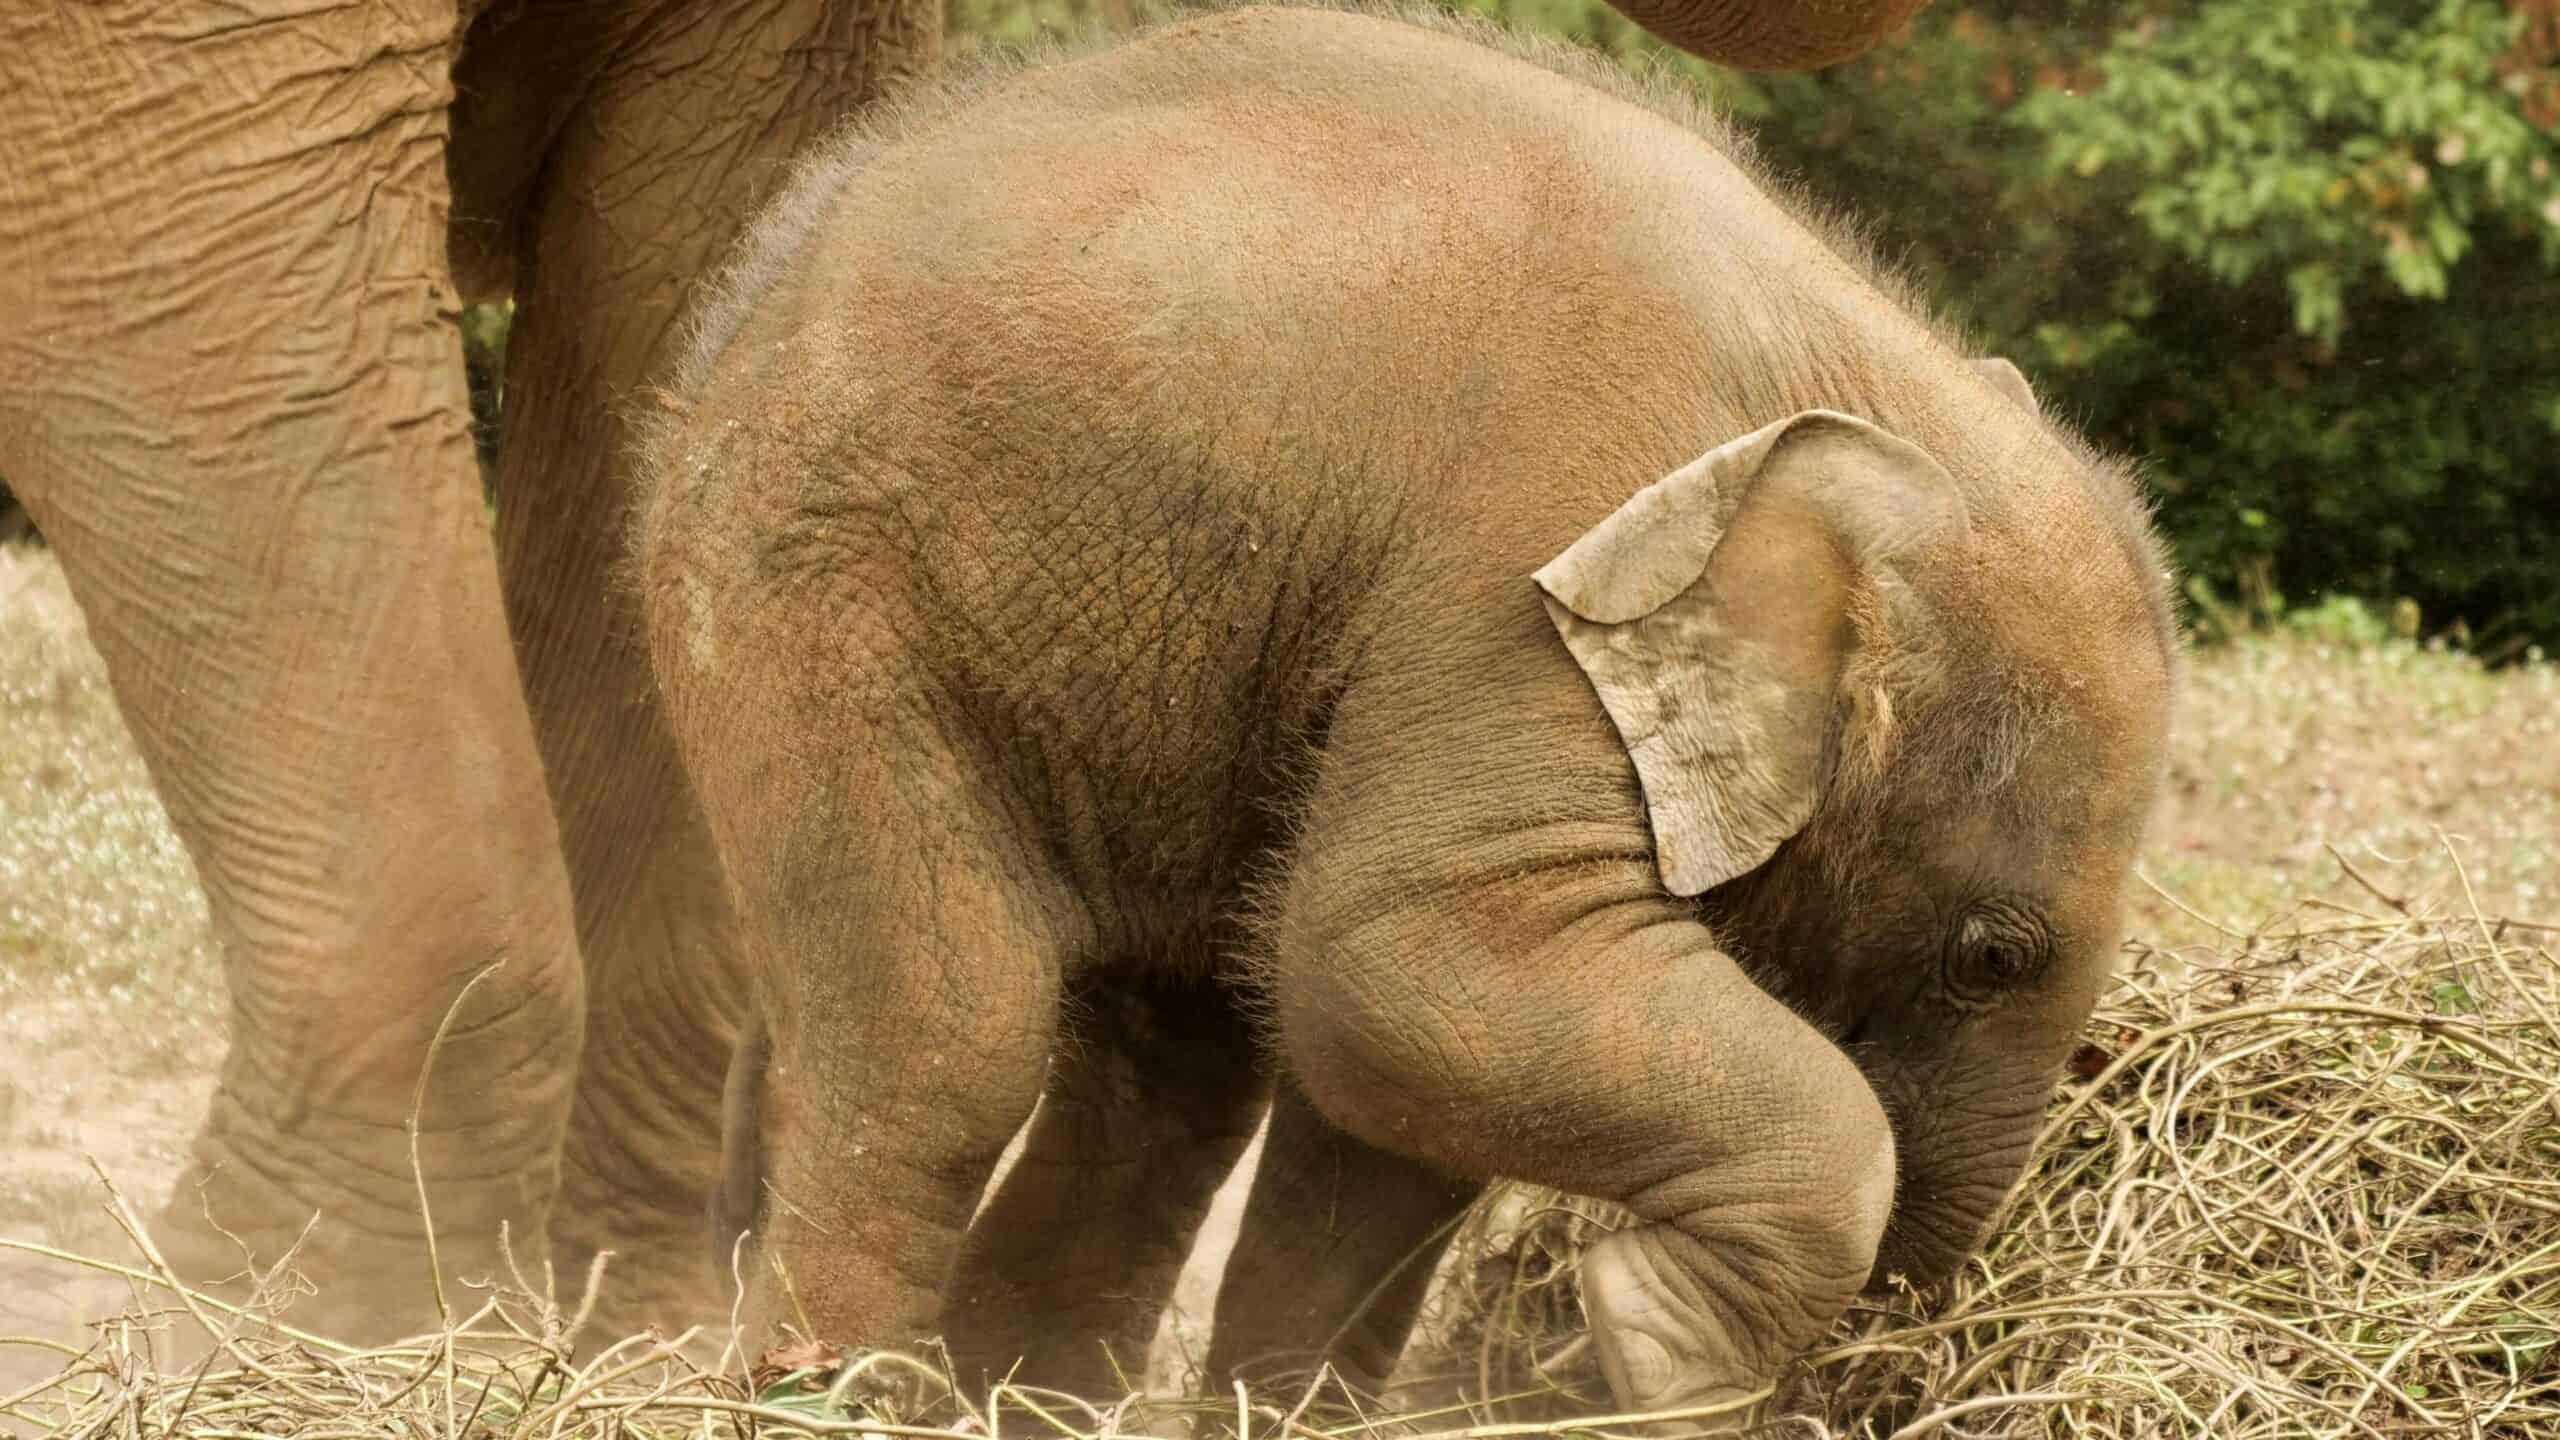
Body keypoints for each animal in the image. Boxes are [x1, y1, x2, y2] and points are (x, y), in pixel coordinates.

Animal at [631, 1, 2176, 1422]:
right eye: (1991, 957)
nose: (1894, 1352)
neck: (1862, 384)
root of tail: (733, 322)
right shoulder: (1517, 576)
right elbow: (1393, 958)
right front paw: (1653, 1349)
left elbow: (1385, 1098)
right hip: (815, 580)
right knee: (949, 1034)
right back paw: (832, 1398)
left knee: (1172, 1077)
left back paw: (1028, 1399)